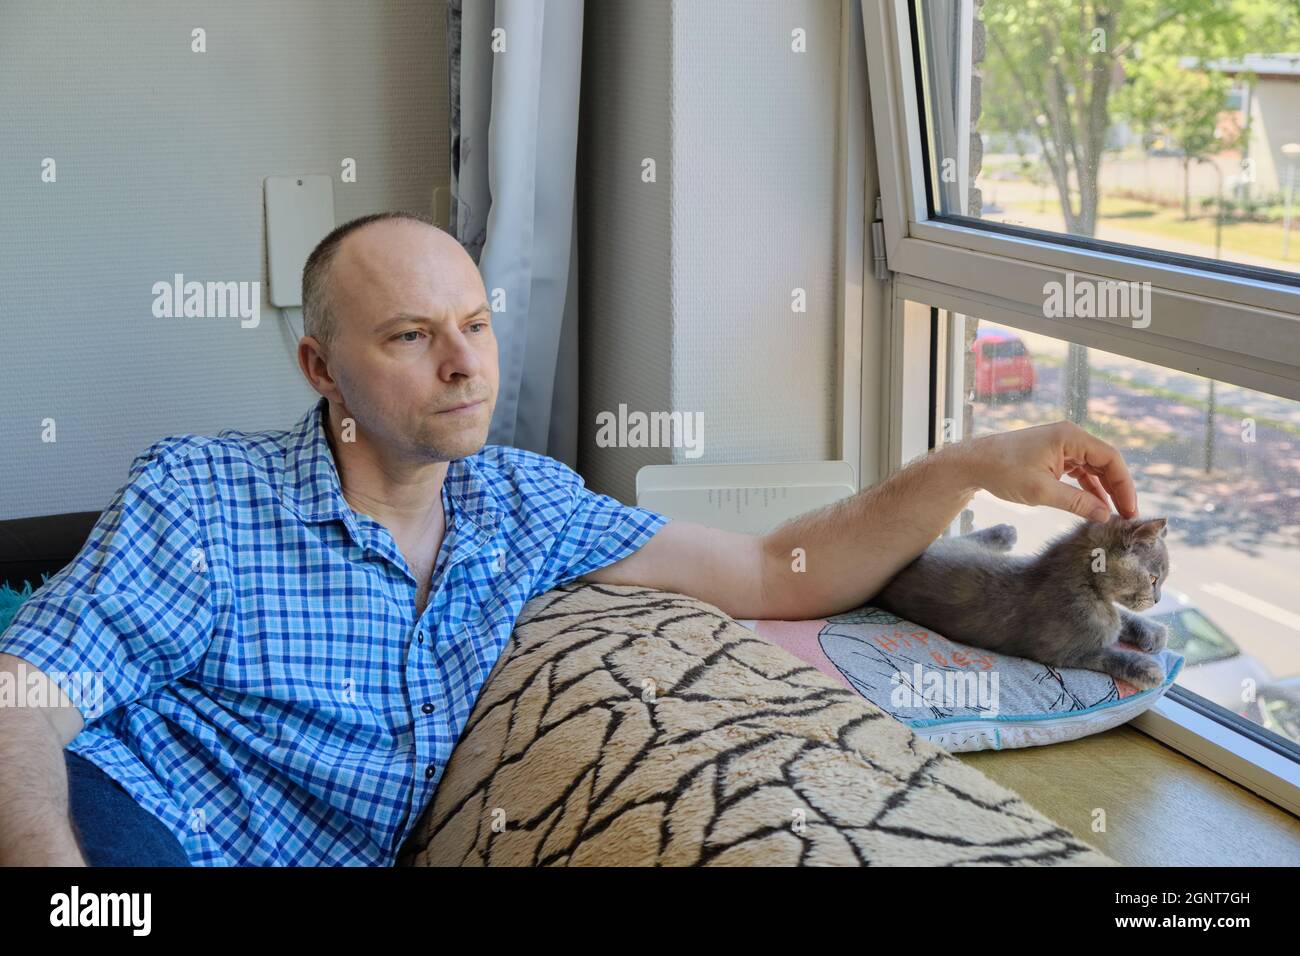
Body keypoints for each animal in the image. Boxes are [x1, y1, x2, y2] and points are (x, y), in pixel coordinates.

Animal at [873, 520, 1170, 691]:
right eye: (1154, 579)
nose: (1158, 599)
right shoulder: (1062, 652)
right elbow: (1106, 654)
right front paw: (1146, 669)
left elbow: (1123, 617)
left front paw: (1152, 632)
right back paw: (1004, 532)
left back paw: (1004, 532)